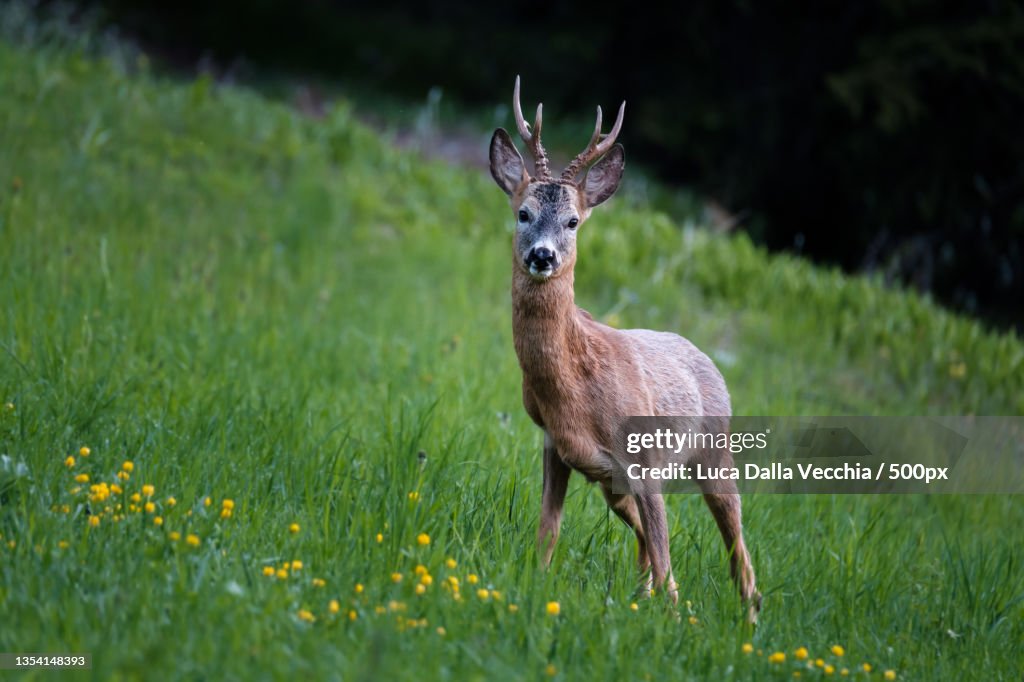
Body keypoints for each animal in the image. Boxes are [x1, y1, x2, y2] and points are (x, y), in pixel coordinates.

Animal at [489, 77, 761, 623]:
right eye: (524, 213)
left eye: (573, 221)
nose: (542, 255)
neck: (574, 388)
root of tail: (706, 359)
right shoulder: (557, 444)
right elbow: (547, 531)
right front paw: (536, 586)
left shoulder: (645, 459)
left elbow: (667, 555)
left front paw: (675, 622)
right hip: (612, 482)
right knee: (644, 541)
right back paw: (642, 597)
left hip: (715, 451)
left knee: (734, 542)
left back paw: (750, 617)